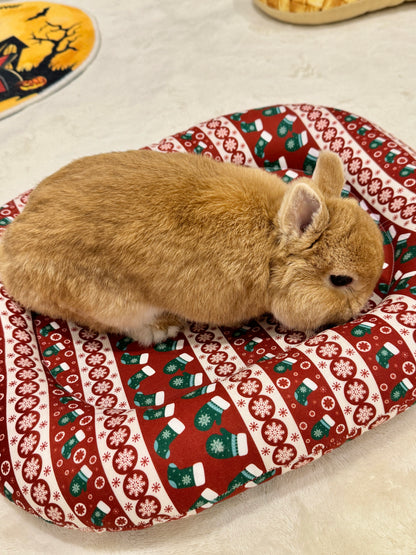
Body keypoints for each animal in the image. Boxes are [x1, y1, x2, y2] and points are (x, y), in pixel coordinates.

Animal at [0, 150, 384, 346]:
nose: (358, 311)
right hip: (109, 303)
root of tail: (11, 256)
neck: (271, 249)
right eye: (340, 280)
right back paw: (164, 328)